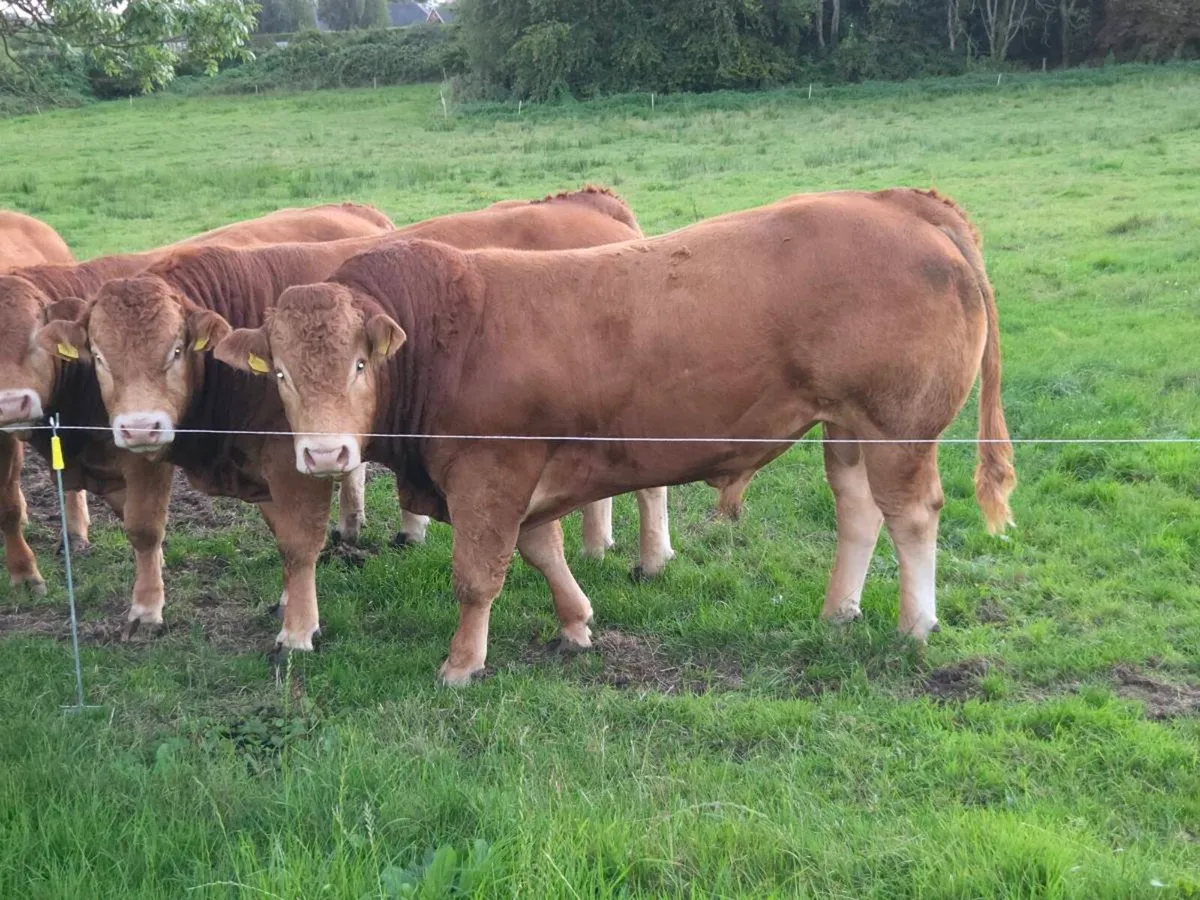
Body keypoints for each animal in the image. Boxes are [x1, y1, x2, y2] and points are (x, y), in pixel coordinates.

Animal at [214, 188, 1017, 685]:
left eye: (358, 364)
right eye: (280, 372)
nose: (324, 454)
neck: (446, 331)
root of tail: (900, 204)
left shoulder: (488, 474)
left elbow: (478, 575)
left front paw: (463, 663)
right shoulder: (526, 475)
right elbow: (542, 550)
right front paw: (574, 624)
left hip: (897, 428)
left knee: (912, 515)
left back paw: (915, 623)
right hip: (845, 426)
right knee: (858, 510)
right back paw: (838, 610)